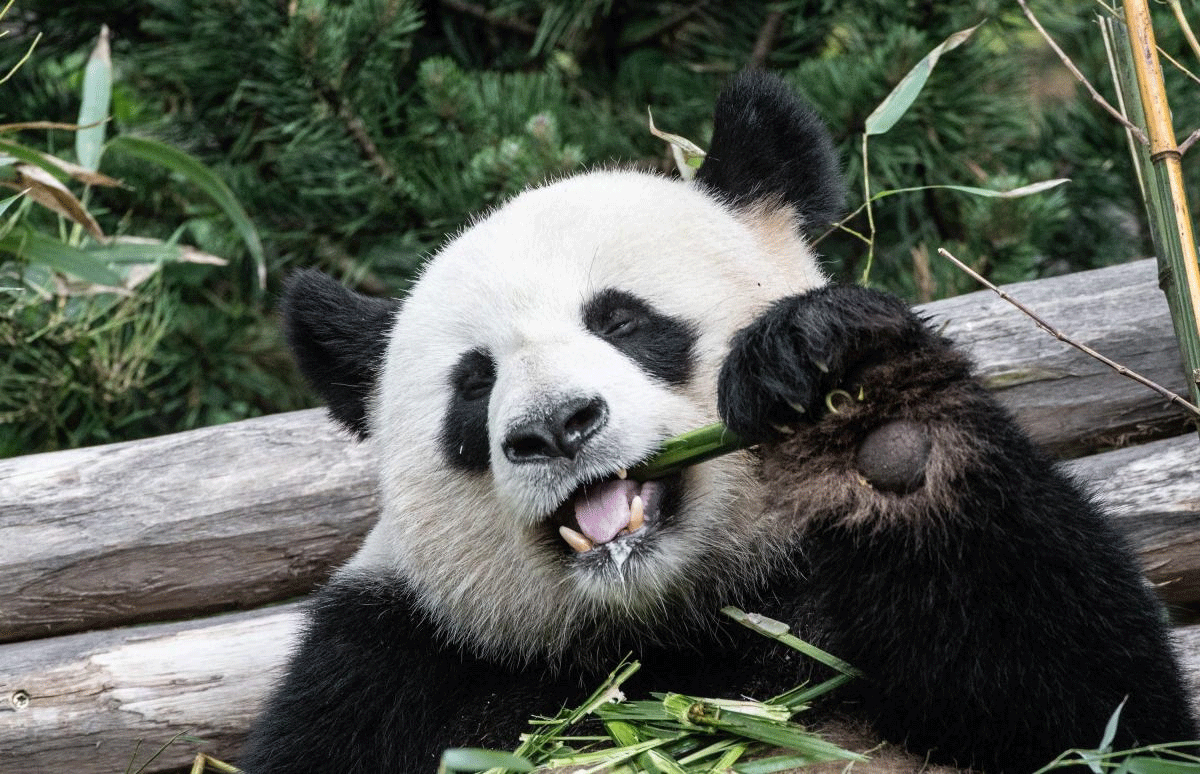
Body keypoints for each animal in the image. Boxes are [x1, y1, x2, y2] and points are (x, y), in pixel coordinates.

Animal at [240, 72, 1196, 773]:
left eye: (623, 322)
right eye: (474, 386)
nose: (555, 427)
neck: (662, 626)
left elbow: (1098, 711)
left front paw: (859, 413)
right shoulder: (391, 661)